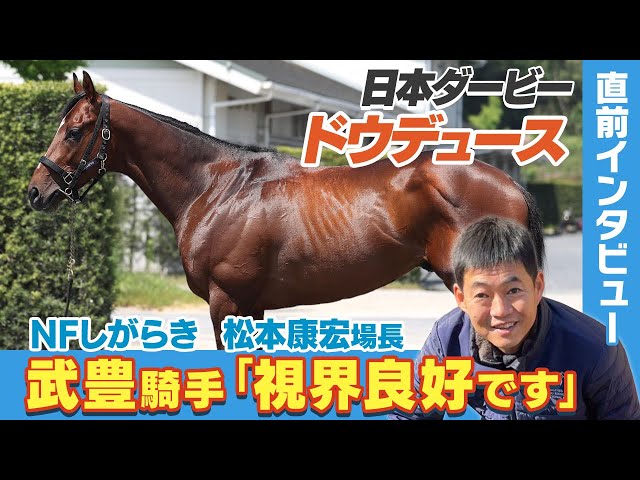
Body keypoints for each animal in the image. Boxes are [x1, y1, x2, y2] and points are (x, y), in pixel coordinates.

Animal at [27, 71, 546, 350]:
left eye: (75, 131)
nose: (36, 192)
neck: (217, 189)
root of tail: (512, 187)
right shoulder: (252, 306)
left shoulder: (225, 303)